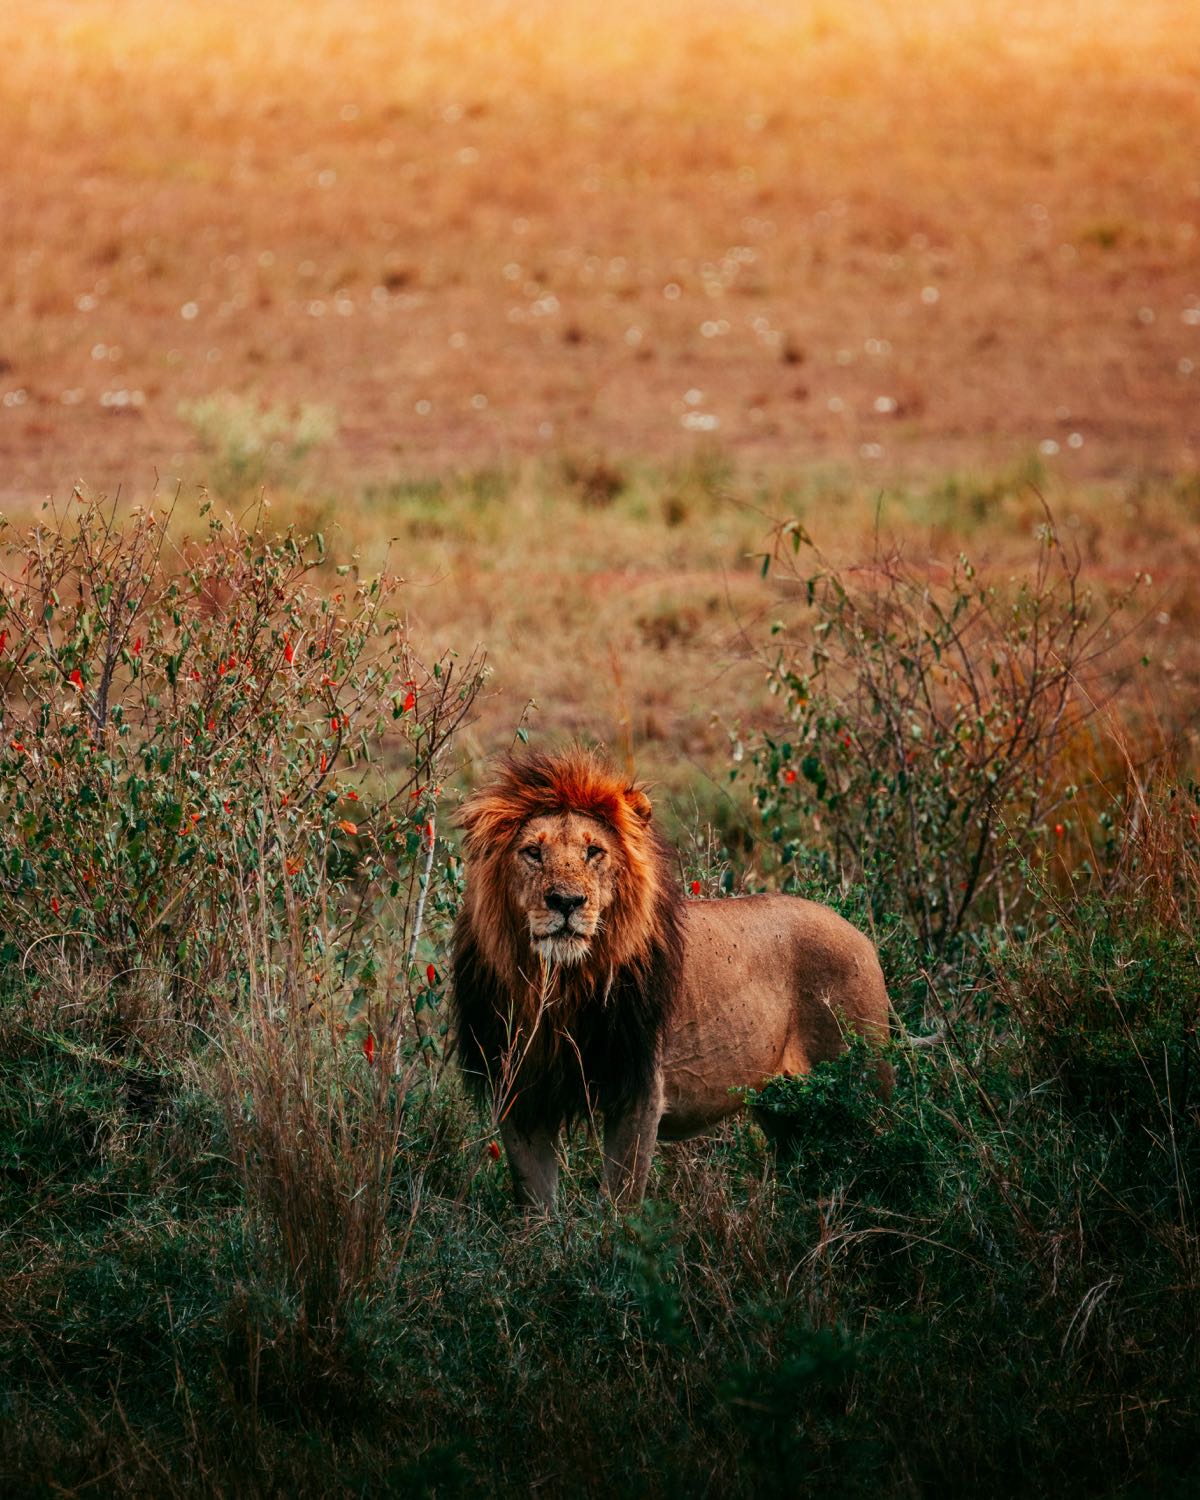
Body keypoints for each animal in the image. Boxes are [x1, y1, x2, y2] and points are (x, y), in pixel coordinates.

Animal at [452, 748, 891, 1208]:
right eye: (533, 852)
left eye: (594, 852)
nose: (567, 902)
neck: (561, 987)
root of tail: (861, 934)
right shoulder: (520, 1094)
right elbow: (536, 1204)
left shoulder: (638, 1092)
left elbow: (620, 1200)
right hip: (781, 1106)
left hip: (867, 1080)